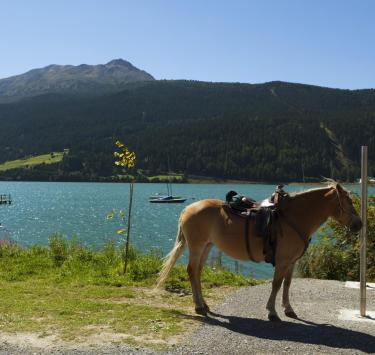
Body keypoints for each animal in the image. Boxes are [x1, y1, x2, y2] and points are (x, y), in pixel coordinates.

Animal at [156, 182, 364, 322]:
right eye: (348, 201)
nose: (359, 224)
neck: (293, 218)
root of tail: (187, 209)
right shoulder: (282, 261)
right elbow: (276, 284)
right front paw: (272, 312)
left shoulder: (291, 262)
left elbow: (287, 285)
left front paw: (288, 309)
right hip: (197, 246)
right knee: (192, 271)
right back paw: (199, 307)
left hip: (207, 246)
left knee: (198, 272)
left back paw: (204, 305)